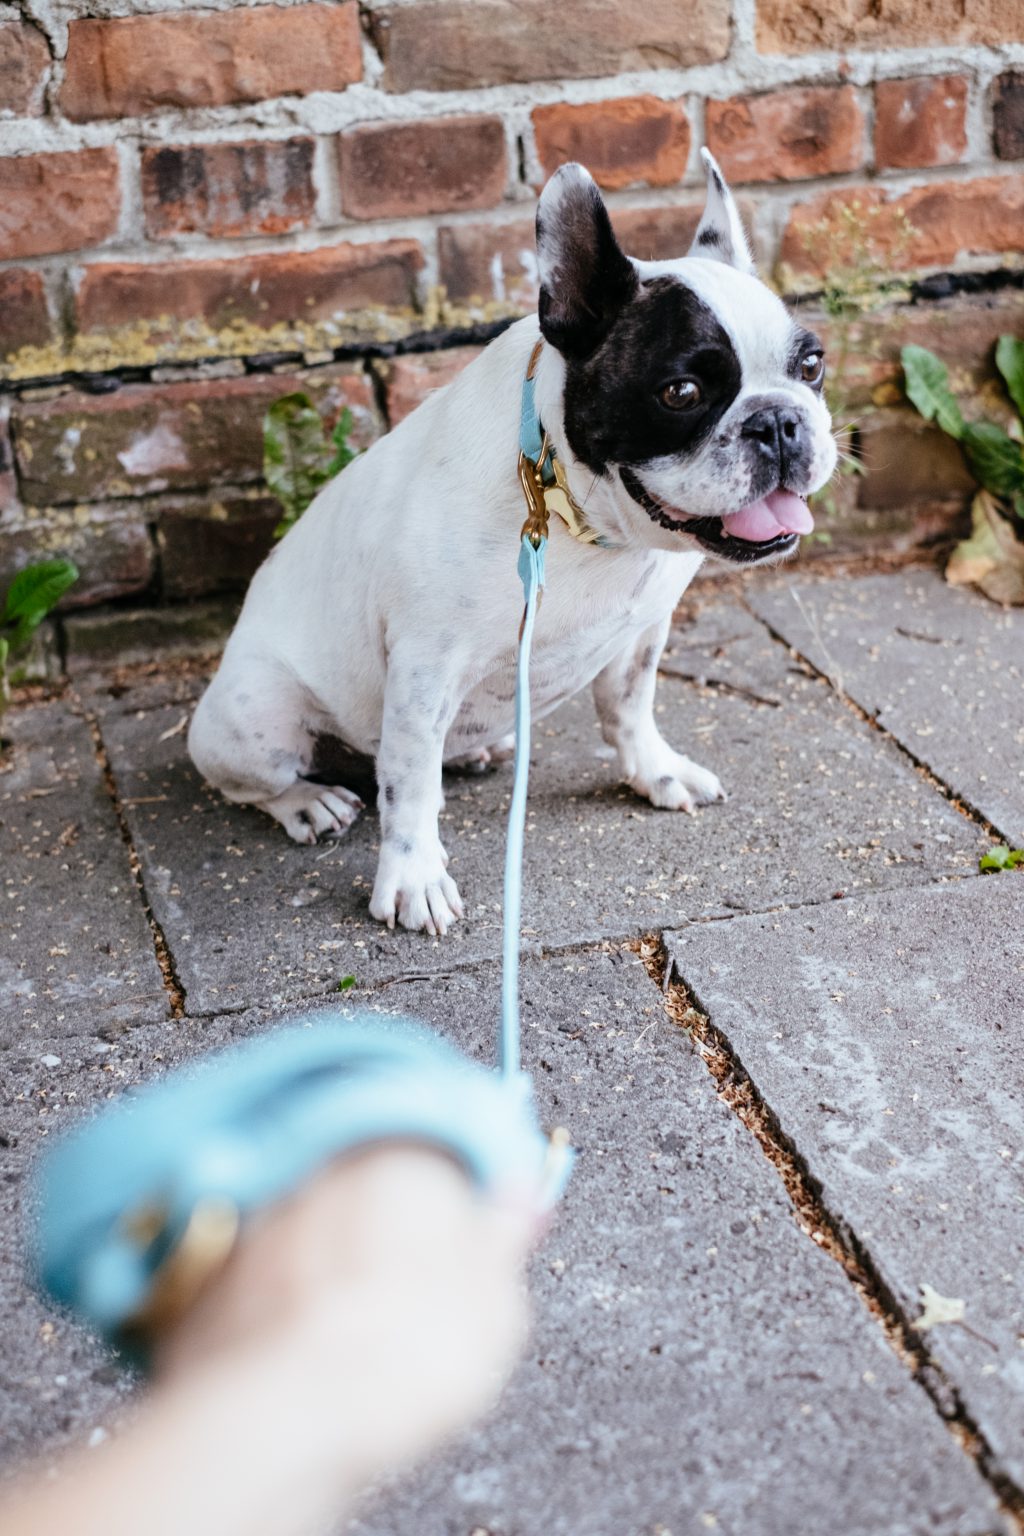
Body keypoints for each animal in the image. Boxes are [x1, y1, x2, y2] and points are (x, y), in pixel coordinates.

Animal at [188, 149, 835, 933]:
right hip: (257, 714)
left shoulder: (641, 631)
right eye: (680, 392)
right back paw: (309, 802)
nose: (779, 421)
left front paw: (656, 772)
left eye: (811, 366)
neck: (577, 515)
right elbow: (409, 783)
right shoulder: (425, 666)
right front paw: (413, 878)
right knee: (267, 783)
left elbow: (630, 707)